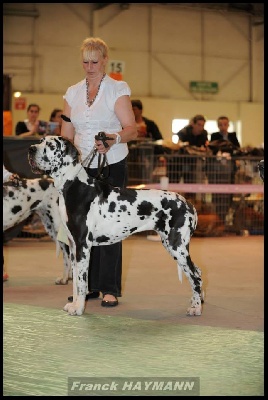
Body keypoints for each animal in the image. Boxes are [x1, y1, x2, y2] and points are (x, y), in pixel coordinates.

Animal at [27, 136, 203, 318]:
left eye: (51, 145)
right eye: (40, 141)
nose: (31, 149)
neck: (73, 184)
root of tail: (189, 204)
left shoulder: (83, 245)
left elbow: (82, 282)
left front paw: (79, 308)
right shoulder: (74, 246)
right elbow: (75, 281)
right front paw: (74, 305)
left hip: (177, 245)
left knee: (195, 275)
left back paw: (196, 308)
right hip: (171, 244)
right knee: (197, 271)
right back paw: (196, 301)